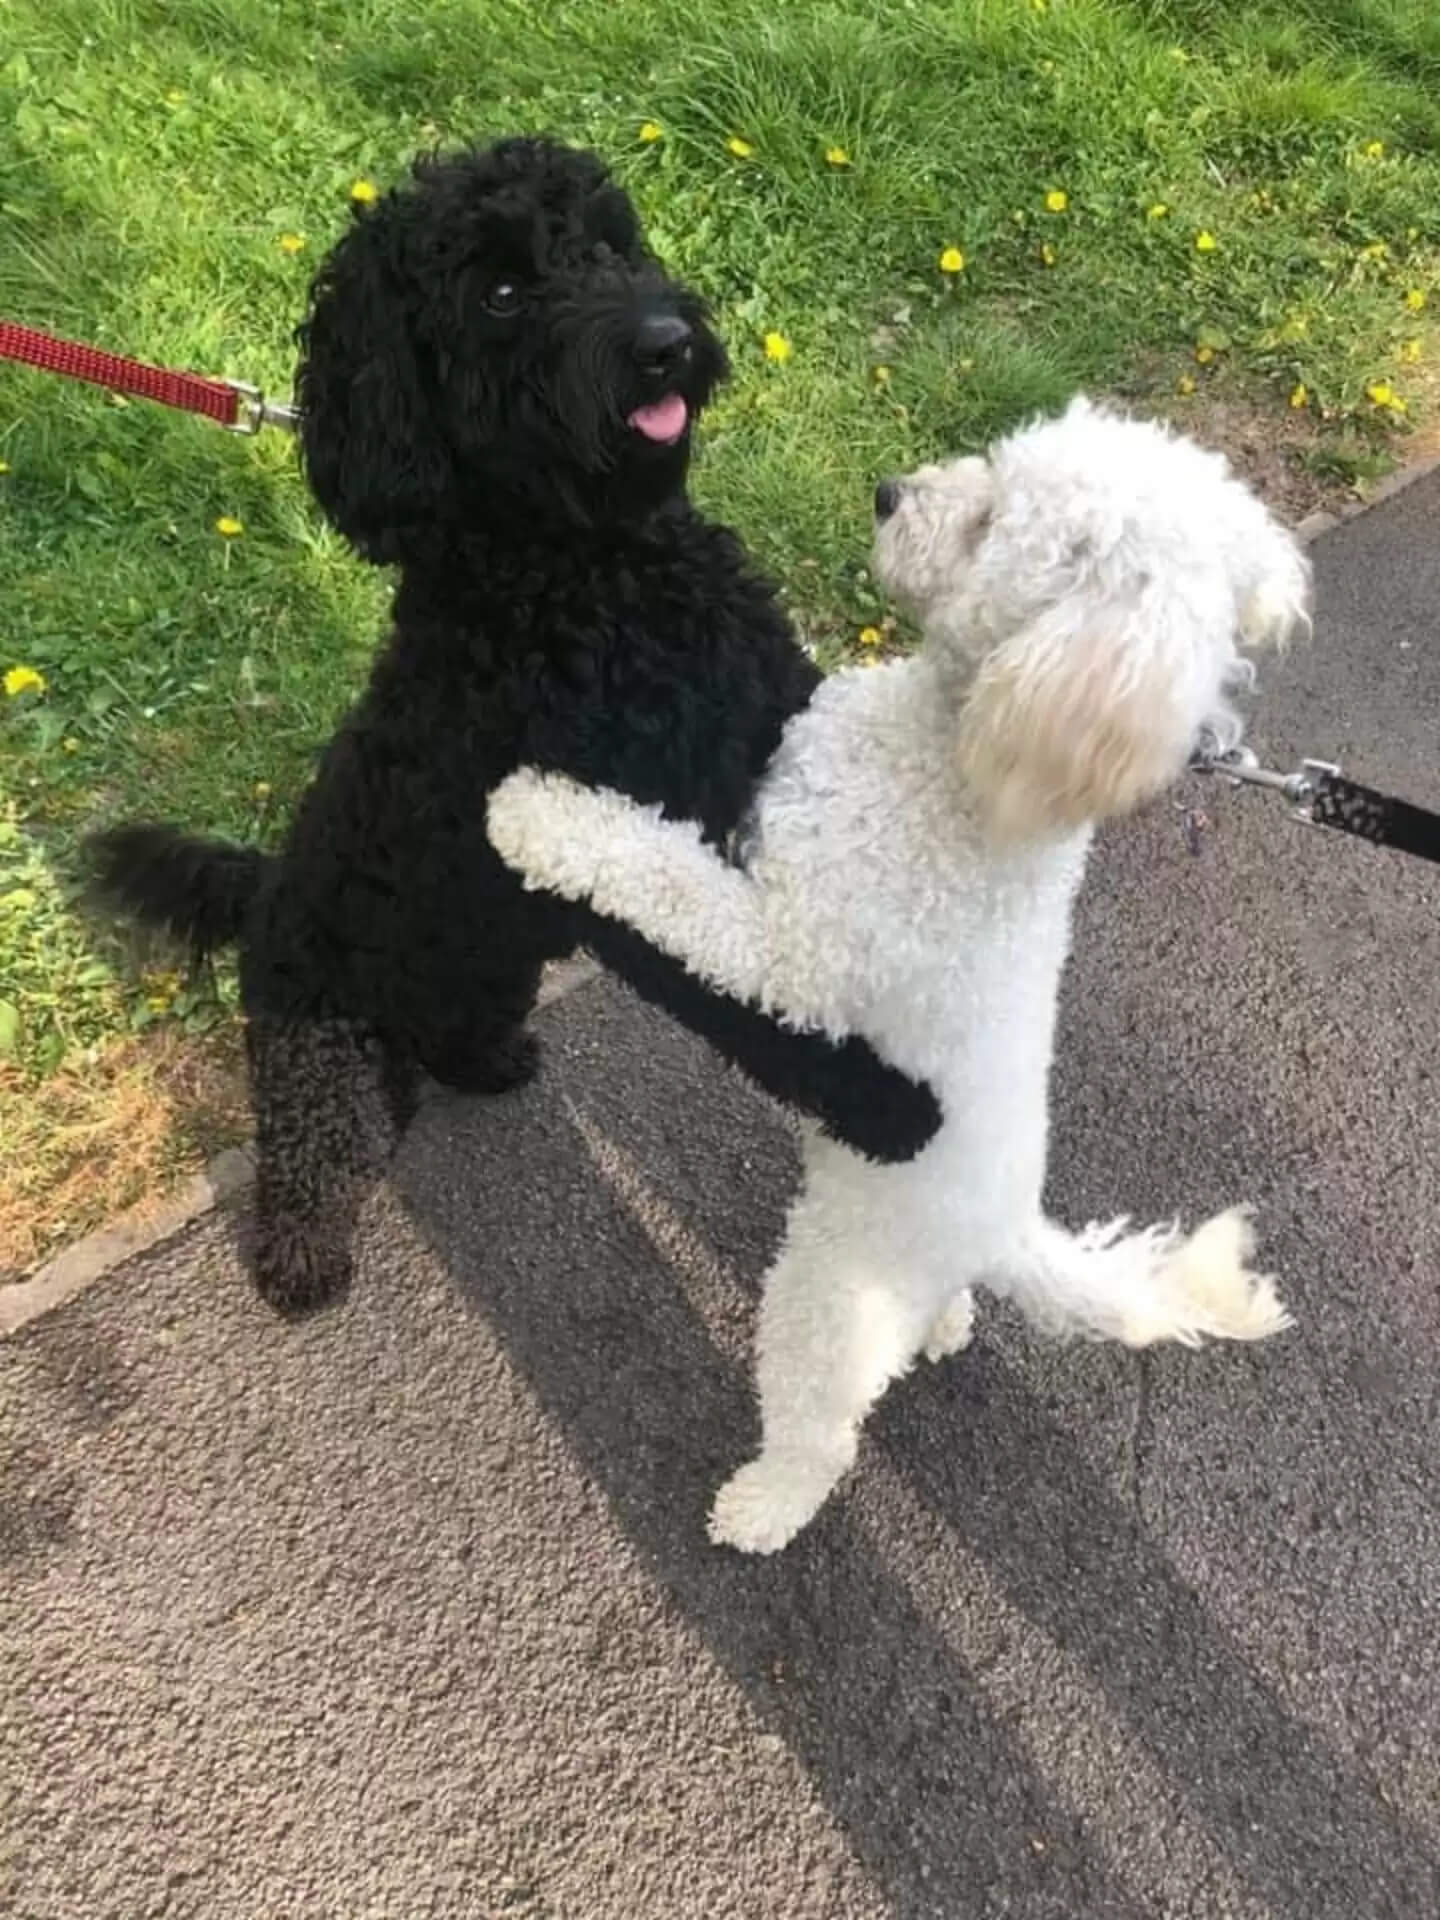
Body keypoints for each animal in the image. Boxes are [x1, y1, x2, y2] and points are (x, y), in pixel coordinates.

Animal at [90, 127, 948, 1313]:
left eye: (609, 242)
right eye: (499, 292)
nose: (665, 345)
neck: (588, 569)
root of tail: (264, 888)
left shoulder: (770, 717)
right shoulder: (624, 864)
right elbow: (744, 1000)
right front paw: (883, 1101)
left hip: (490, 970)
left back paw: (486, 1064)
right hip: (320, 1046)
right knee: (316, 1148)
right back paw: (302, 1258)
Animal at [491, 397, 1313, 1551]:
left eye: (991, 525)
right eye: (997, 468)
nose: (886, 493)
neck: (960, 761)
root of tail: (1007, 1228)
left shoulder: (790, 952)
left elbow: (661, 872)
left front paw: (537, 817)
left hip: (830, 1286)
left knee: (823, 1427)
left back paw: (763, 1507)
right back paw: (947, 1325)